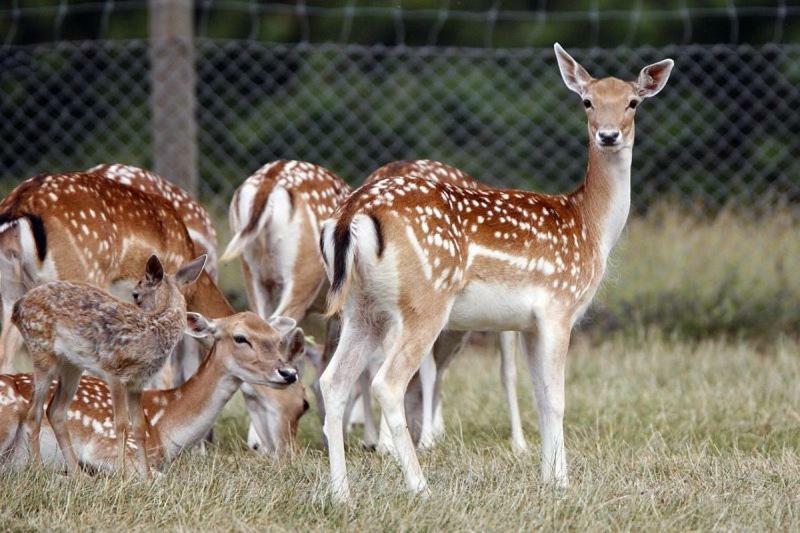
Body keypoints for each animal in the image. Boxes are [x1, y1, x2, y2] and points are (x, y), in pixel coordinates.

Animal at [12, 251, 206, 476]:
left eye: (136, 294)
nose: (134, 300)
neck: (153, 329)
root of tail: (17, 307)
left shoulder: (137, 383)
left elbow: (139, 427)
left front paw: (146, 476)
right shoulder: (115, 371)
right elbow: (121, 424)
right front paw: (123, 475)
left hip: (72, 366)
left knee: (55, 411)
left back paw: (78, 476)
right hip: (42, 352)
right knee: (33, 414)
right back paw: (39, 470)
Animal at [318, 42, 676, 498]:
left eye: (632, 102)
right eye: (587, 101)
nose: (608, 135)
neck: (591, 227)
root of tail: (353, 213)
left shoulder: (529, 323)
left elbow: (540, 396)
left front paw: (548, 478)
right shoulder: (559, 307)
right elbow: (557, 398)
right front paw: (563, 483)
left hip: (362, 308)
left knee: (333, 381)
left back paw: (340, 495)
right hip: (424, 301)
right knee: (387, 382)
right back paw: (421, 488)